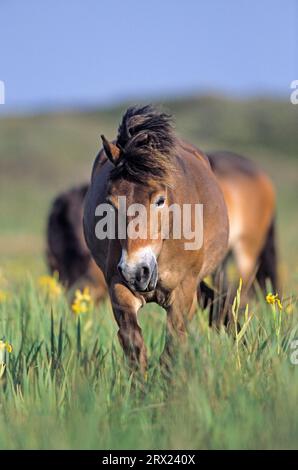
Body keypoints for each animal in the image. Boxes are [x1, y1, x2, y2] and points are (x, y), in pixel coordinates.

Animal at [82, 105, 229, 370]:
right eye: (110, 202)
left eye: (160, 200)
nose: (136, 271)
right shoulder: (118, 285)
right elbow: (132, 341)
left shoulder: (183, 291)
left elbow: (174, 342)